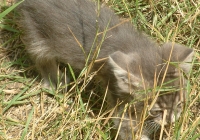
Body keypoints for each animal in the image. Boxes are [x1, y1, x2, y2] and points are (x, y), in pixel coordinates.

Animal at [17, 0, 194, 139]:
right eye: (156, 111)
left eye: (179, 104)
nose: (171, 120)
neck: (134, 46)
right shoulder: (119, 100)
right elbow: (127, 129)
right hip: (35, 35)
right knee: (40, 57)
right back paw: (56, 81)